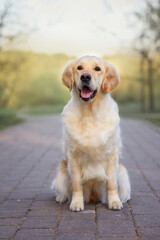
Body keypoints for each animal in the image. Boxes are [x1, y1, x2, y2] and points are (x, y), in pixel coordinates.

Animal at [52, 55, 131, 211]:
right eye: (79, 68)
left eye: (97, 68)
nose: (85, 77)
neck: (90, 114)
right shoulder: (73, 157)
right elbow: (76, 184)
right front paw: (76, 203)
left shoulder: (112, 156)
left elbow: (111, 184)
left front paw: (114, 202)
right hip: (61, 173)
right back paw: (61, 198)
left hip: (123, 173)